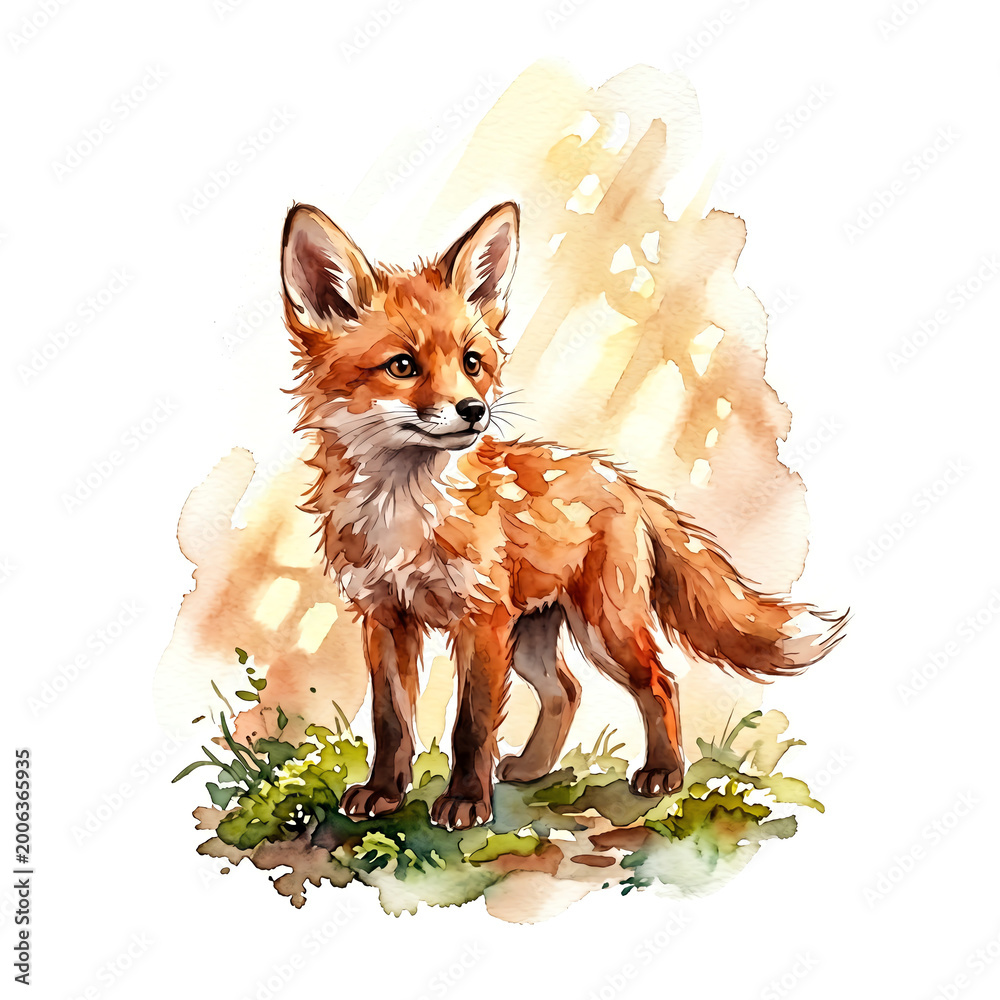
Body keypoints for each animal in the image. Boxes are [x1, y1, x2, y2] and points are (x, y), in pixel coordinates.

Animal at [279, 199, 845, 830]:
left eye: (472, 362)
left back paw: (663, 773)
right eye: (402, 366)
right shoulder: (384, 617)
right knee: (566, 691)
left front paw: (466, 802)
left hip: (603, 627)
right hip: (533, 637)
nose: (474, 410)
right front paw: (384, 793)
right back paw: (533, 768)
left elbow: (471, 725)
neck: (404, 514)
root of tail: (618, 477)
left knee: (660, 681)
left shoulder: (481, 621)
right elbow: (391, 720)